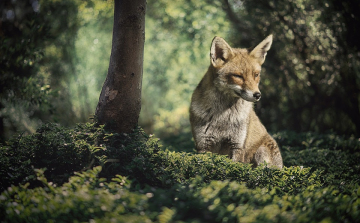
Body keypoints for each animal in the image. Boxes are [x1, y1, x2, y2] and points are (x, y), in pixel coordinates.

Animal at [190, 34, 282, 168]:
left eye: (256, 75)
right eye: (238, 76)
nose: (258, 95)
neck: (222, 117)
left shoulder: (237, 145)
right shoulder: (203, 145)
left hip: (261, 152)